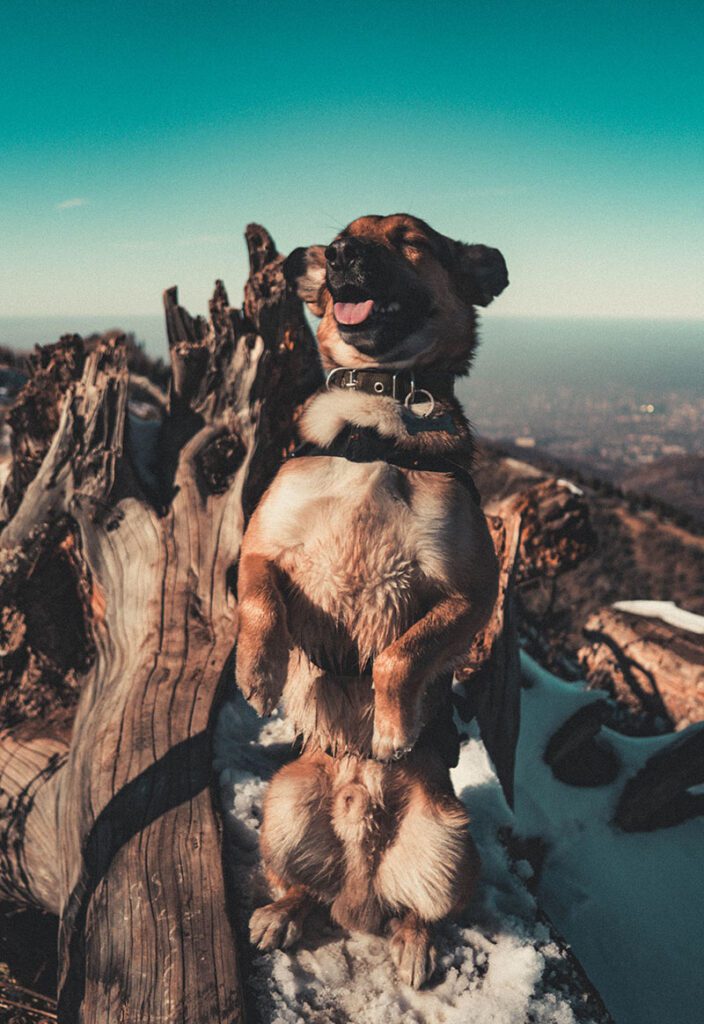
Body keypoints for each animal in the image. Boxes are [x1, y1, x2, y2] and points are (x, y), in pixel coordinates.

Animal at [235, 211, 505, 987]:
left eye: (412, 240)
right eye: (342, 236)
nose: (340, 255)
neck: (376, 416)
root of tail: (359, 888)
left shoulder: (470, 591)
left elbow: (397, 656)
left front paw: (389, 728)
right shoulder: (261, 548)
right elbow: (261, 605)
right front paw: (259, 671)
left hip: (451, 842)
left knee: (422, 911)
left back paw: (414, 947)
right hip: (284, 805)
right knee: (301, 888)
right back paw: (281, 913)